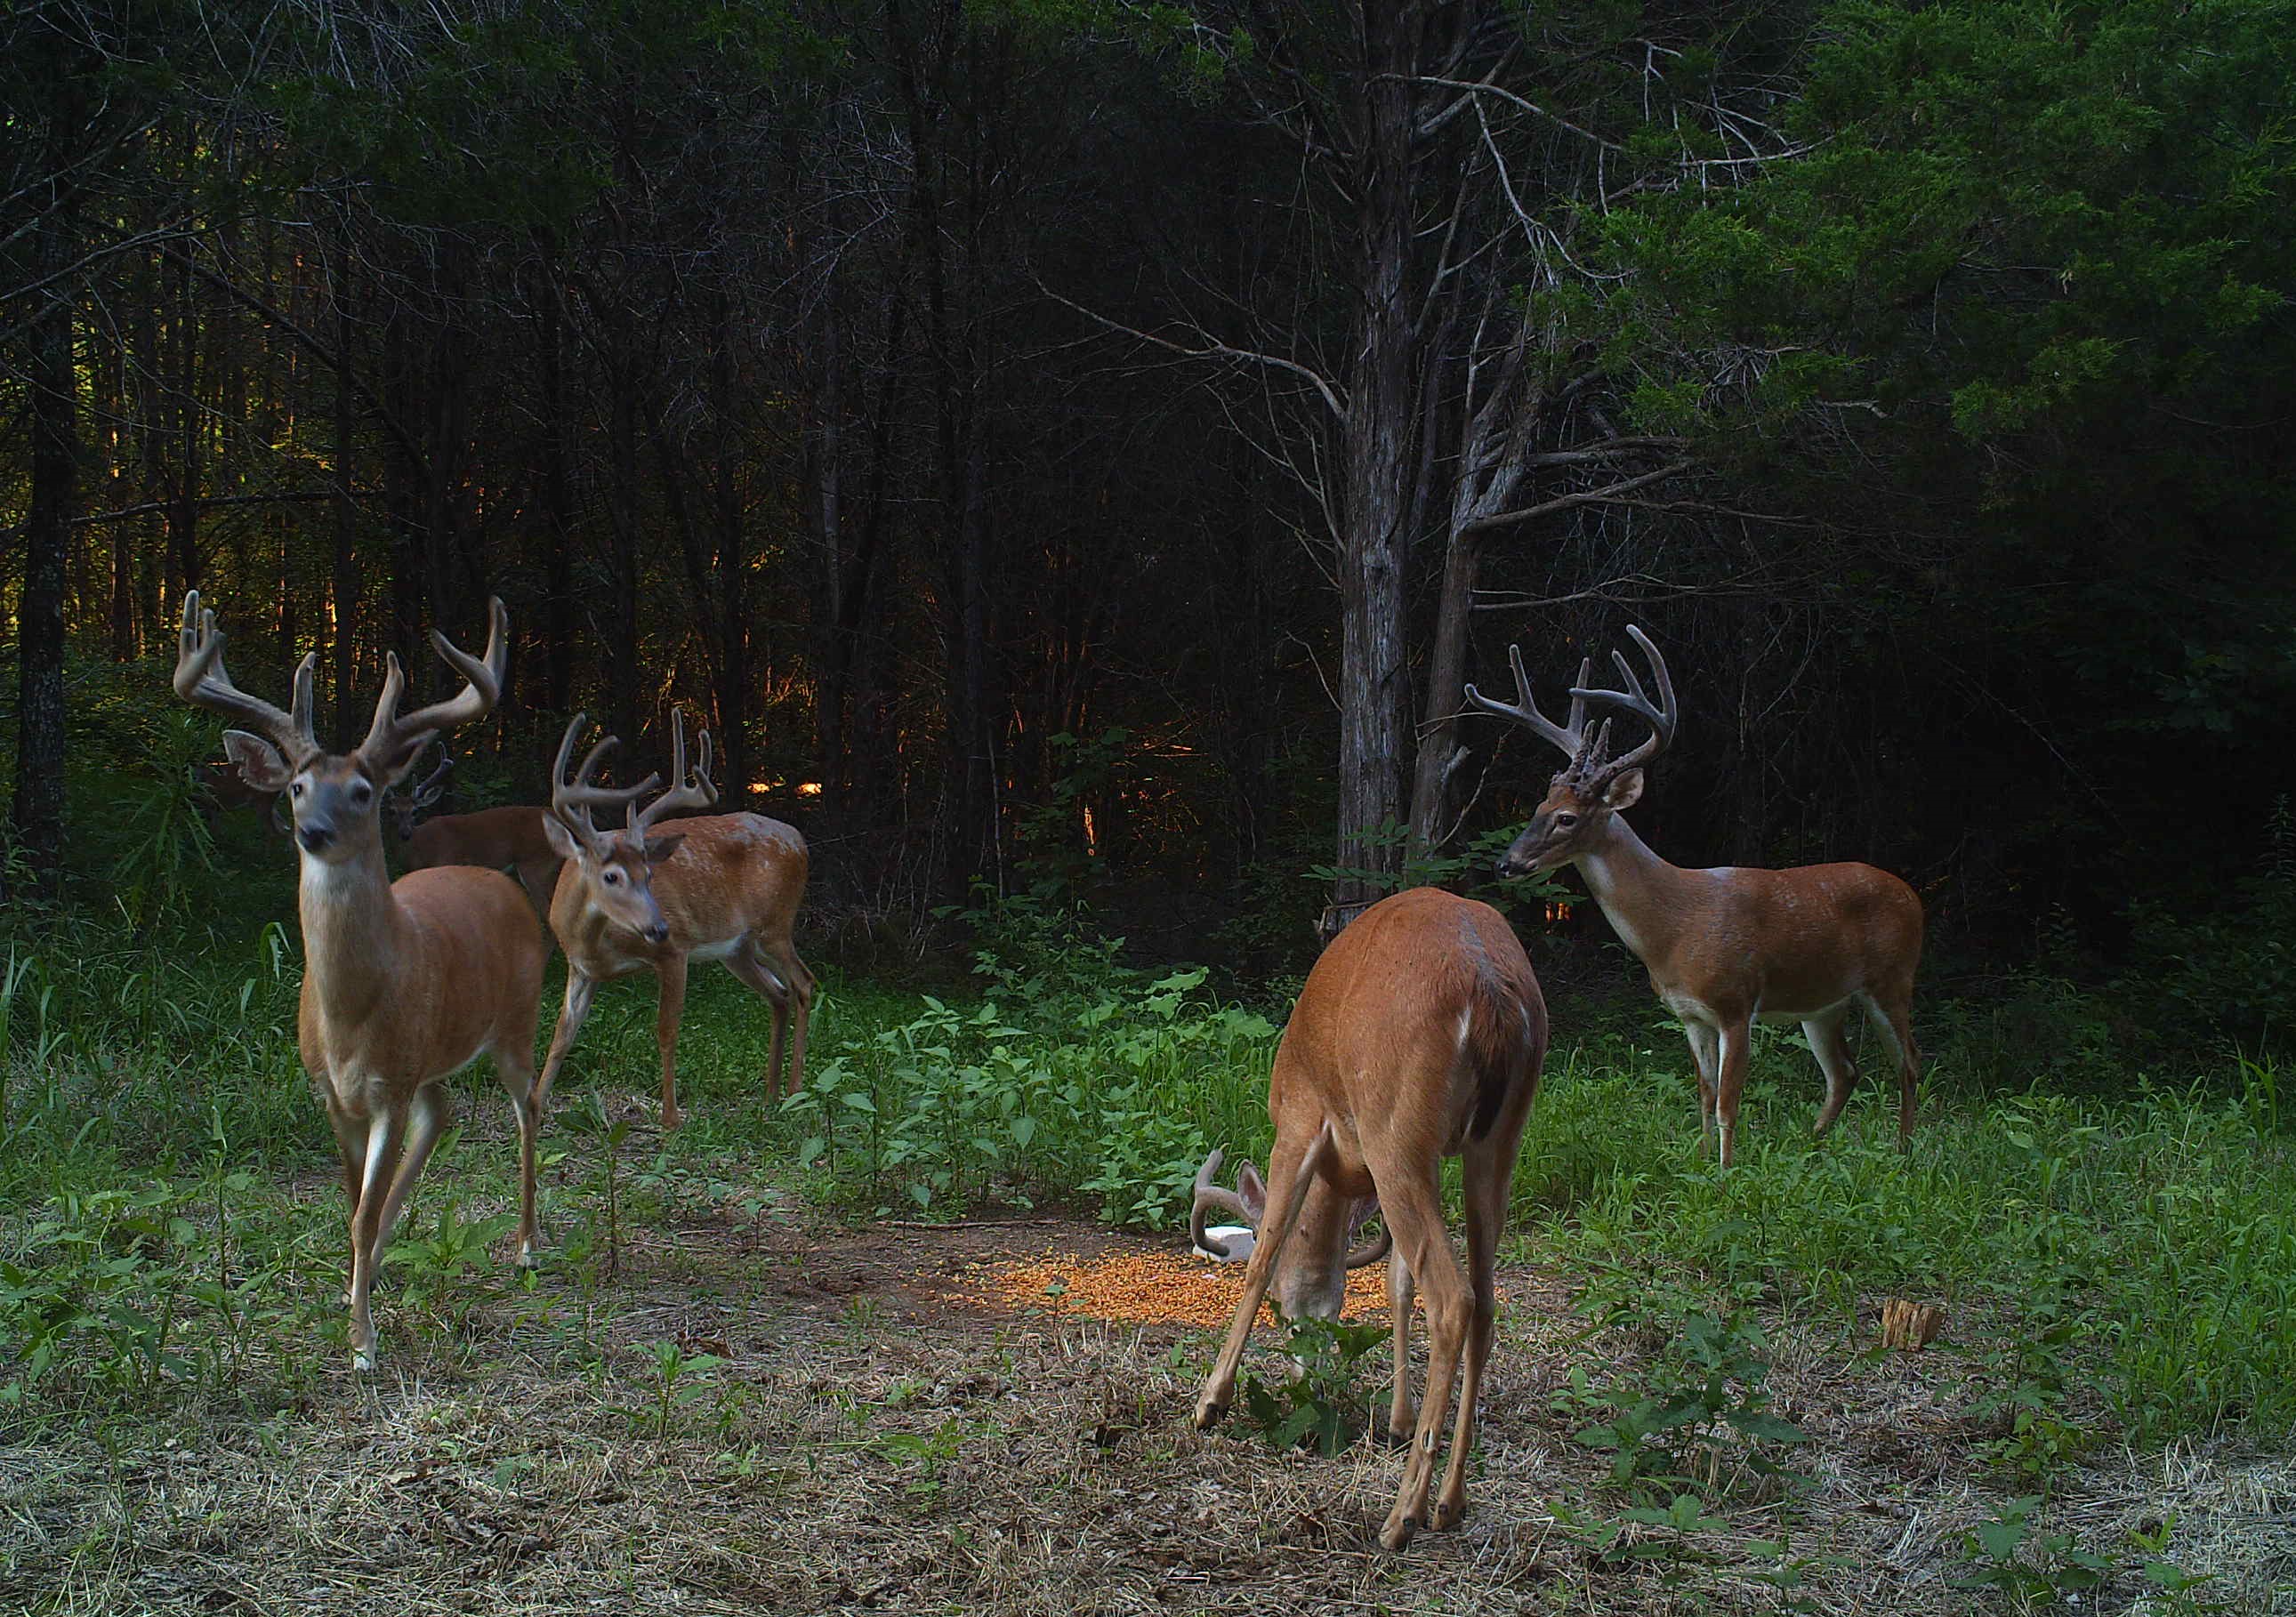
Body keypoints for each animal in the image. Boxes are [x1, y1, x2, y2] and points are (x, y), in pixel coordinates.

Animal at [171, 591, 548, 1370]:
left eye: (363, 790)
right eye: (297, 786)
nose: (310, 830)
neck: (350, 1016)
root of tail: (498, 882)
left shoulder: (387, 1088)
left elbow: (361, 1213)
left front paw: (363, 1343)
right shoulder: (334, 1093)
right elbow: (353, 1208)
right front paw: (354, 1296)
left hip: (516, 1020)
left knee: (528, 1107)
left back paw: (527, 1246)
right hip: (432, 1058)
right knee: (444, 1113)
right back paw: (374, 1267)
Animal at [532, 708, 816, 1133]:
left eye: (650, 874)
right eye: (611, 876)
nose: (658, 927)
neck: (596, 942)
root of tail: (799, 839)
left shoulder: (674, 953)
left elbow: (666, 1030)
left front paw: (670, 1118)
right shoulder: (580, 967)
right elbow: (561, 1035)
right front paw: (534, 1107)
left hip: (776, 926)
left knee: (803, 983)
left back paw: (795, 1091)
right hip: (737, 948)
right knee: (778, 993)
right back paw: (770, 1095)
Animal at [1190, 886, 1548, 1551]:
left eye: (1281, 1310)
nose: (1312, 1380)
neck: (1341, 1181)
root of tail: (1490, 989)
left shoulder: (1300, 1117)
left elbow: (1265, 1253)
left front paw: (1210, 1402)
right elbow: (1395, 1280)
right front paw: (1399, 1422)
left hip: (1396, 1127)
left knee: (1453, 1296)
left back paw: (1402, 1514)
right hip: (1497, 1140)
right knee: (1485, 1301)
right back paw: (1450, 1502)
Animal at [1465, 623, 1924, 1170]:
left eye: (1567, 818)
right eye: (1539, 806)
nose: (1506, 863)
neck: (1672, 929)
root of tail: (1913, 895)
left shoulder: (1736, 1002)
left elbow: (1729, 1099)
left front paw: (1726, 1172)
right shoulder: (1688, 1013)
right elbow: (1704, 1092)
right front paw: (1701, 1162)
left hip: (1893, 978)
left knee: (1909, 1062)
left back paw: (1905, 1151)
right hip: (1822, 1003)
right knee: (1845, 1072)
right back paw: (1812, 1148)